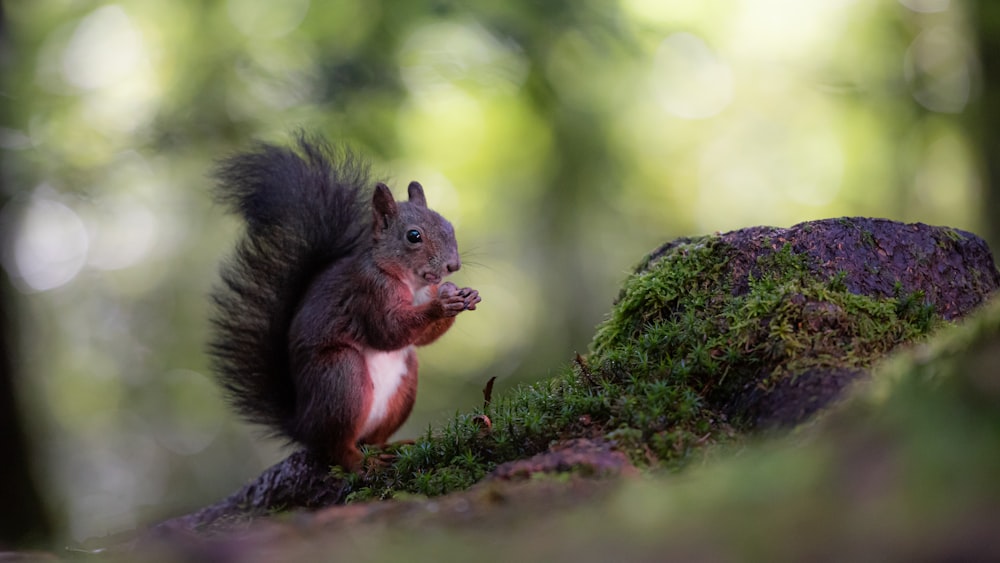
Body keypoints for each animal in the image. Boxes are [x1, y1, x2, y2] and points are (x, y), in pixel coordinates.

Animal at [207, 135, 480, 472]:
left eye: (448, 226)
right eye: (413, 236)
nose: (453, 266)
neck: (412, 283)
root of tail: (303, 424)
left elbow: (421, 339)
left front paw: (463, 294)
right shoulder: (367, 292)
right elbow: (387, 331)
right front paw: (441, 304)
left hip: (403, 381)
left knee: (370, 439)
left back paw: (392, 446)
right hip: (341, 376)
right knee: (335, 447)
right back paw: (360, 462)